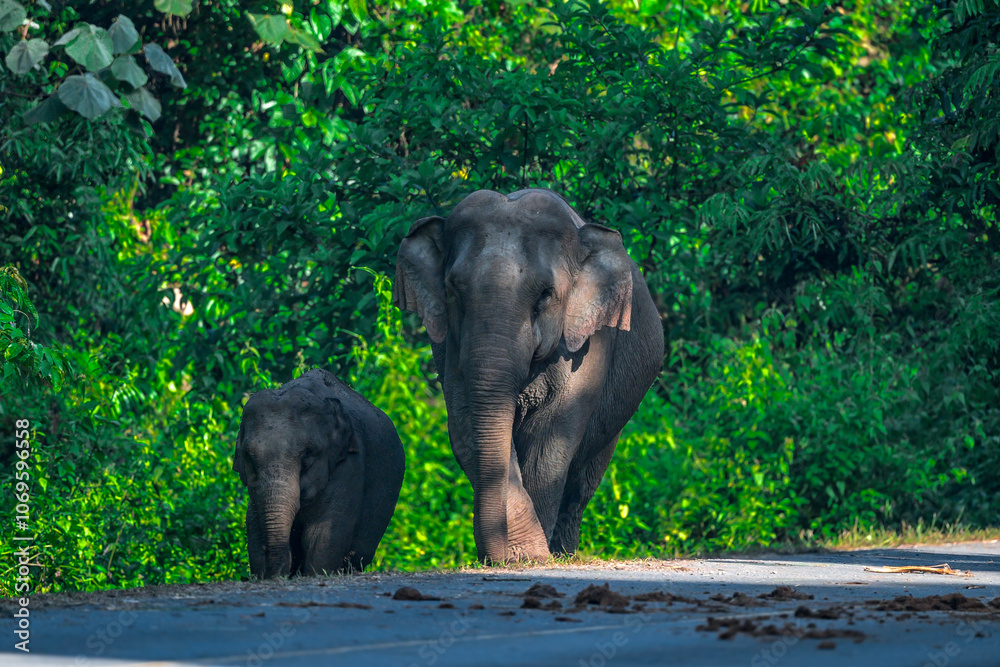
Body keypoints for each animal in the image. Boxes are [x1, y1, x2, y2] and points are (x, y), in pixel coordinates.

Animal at [233, 368, 405, 578]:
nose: (279, 575)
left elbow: (322, 533)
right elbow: (254, 526)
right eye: (249, 456)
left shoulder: (349, 466)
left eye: (307, 454)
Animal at [394, 188, 663, 563]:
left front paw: (532, 557)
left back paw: (564, 553)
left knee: (582, 483)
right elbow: (466, 426)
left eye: (545, 295)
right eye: (452, 290)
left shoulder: (588, 345)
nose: (496, 558)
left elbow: (550, 440)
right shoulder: (450, 348)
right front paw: (523, 554)